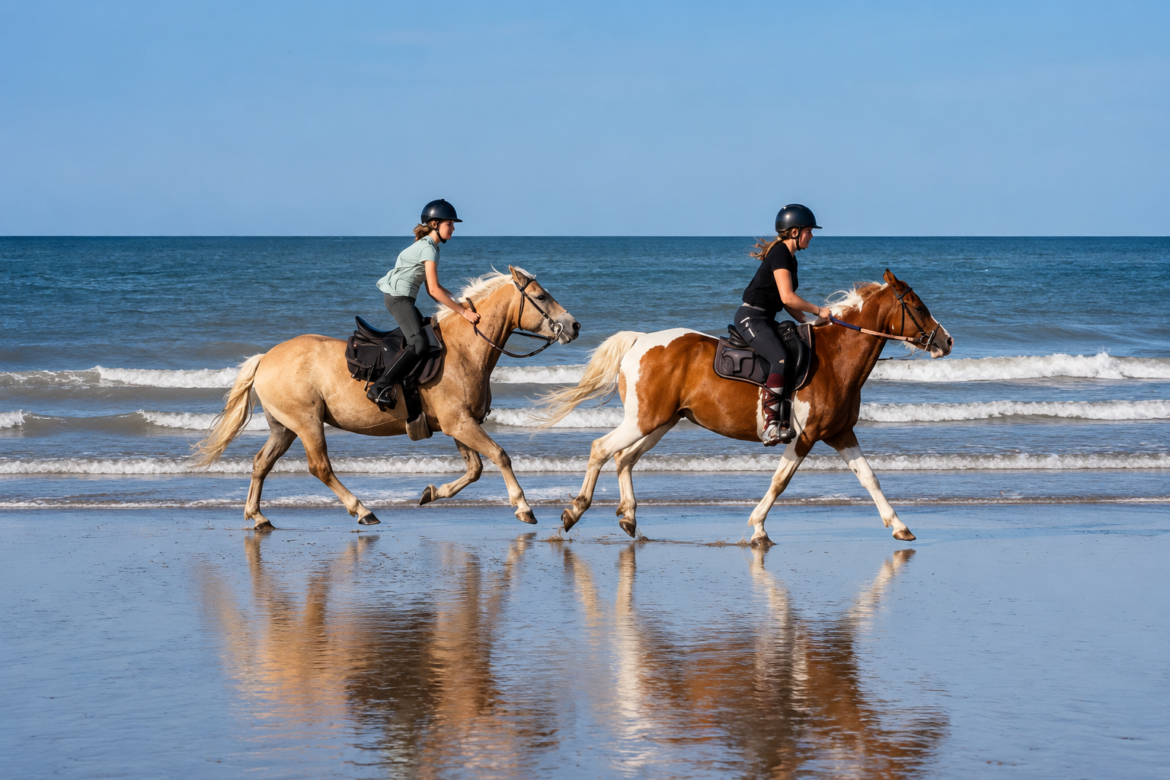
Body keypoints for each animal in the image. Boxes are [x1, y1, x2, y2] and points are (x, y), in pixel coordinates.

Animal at [195, 266, 580, 529]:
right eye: (541, 297)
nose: (574, 326)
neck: (464, 348)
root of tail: (265, 359)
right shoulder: (460, 423)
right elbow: (500, 456)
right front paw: (523, 507)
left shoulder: (459, 424)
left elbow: (474, 469)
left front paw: (431, 493)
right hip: (306, 423)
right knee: (320, 467)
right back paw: (362, 510)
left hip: (284, 427)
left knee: (262, 464)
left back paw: (258, 516)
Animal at [540, 269, 953, 546]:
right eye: (918, 306)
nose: (946, 341)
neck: (836, 357)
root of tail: (640, 340)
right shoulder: (806, 436)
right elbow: (780, 481)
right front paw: (758, 529)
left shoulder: (839, 433)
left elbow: (869, 477)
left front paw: (900, 526)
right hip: (644, 420)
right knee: (602, 449)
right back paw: (574, 511)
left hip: (660, 422)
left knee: (624, 458)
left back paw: (628, 517)